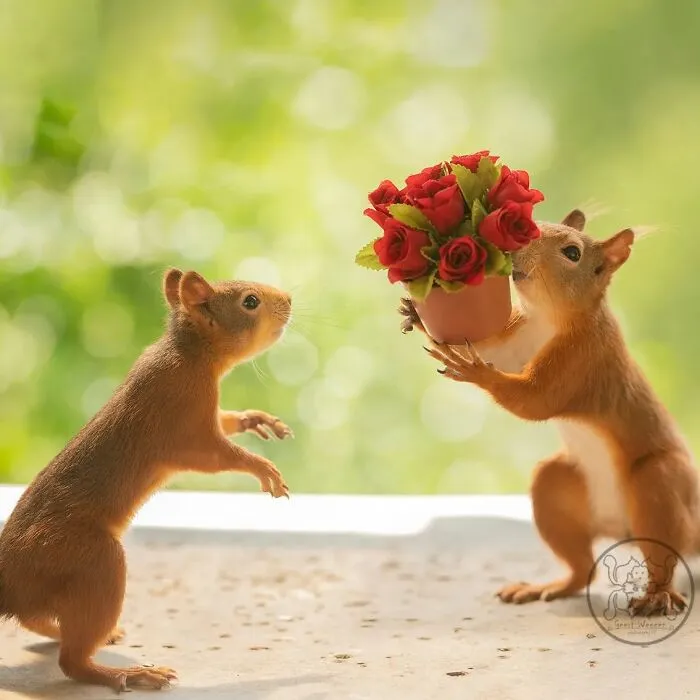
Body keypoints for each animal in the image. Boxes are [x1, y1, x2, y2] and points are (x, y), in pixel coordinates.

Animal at [0, 268, 293, 692]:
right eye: (250, 302)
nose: (289, 299)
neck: (188, 354)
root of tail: (10, 582)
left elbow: (226, 420)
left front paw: (255, 419)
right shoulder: (183, 424)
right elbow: (217, 455)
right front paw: (263, 468)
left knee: (33, 617)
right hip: (93, 561)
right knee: (71, 661)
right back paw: (129, 673)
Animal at [400, 210, 699, 616]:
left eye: (572, 253)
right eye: (535, 223)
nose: (517, 245)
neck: (549, 318)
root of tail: (619, 527)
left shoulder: (581, 359)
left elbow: (536, 400)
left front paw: (476, 372)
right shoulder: (517, 340)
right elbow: (488, 348)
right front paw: (416, 314)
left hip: (659, 485)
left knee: (663, 553)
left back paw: (658, 596)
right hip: (555, 488)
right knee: (582, 569)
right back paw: (547, 586)